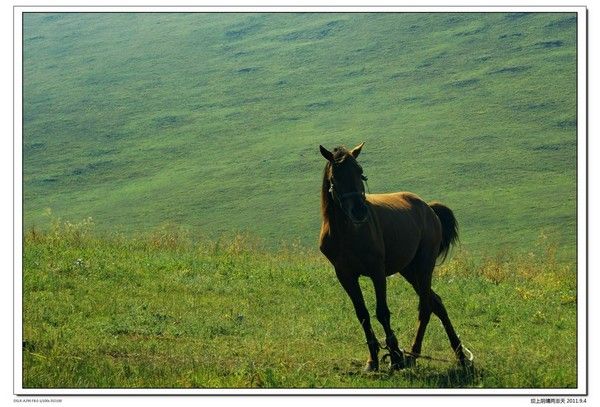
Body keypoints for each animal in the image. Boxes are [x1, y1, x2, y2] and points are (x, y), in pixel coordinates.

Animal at [322, 143, 472, 372]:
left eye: (360, 171)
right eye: (335, 176)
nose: (359, 211)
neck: (348, 234)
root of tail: (428, 209)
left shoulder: (377, 271)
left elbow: (382, 312)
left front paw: (394, 355)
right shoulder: (345, 275)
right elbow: (362, 314)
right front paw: (372, 361)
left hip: (423, 266)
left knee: (426, 306)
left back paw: (414, 355)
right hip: (408, 270)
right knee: (436, 302)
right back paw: (459, 354)